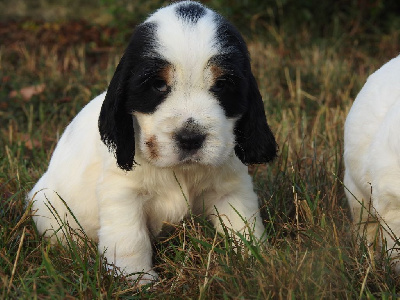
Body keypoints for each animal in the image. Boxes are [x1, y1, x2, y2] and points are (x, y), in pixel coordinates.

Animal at [27, 0, 278, 284]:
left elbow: (244, 224)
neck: (180, 171)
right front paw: (137, 280)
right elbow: (130, 239)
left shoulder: (231, 189)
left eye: (221, 84)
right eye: (158, 85)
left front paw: (256, 264)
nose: (190, 138)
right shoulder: (123, 194)